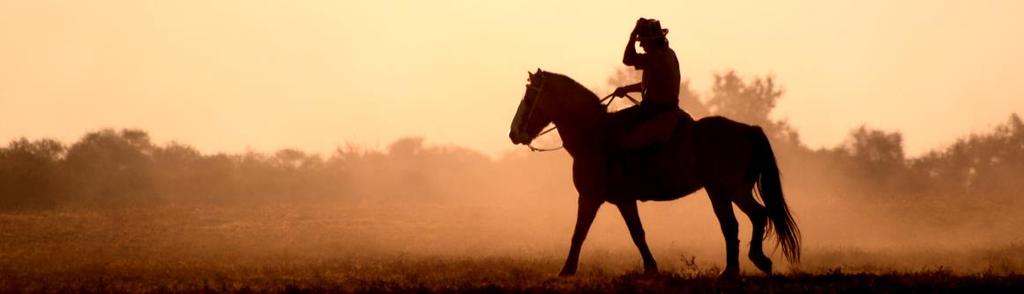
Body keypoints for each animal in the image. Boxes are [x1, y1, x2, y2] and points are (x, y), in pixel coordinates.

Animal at [509, 69, 798, 278]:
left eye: (529, 97)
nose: (513, 133)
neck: (593, 135)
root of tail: (748, 130)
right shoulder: (621, 200)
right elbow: (635, 233)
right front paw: (650, 267)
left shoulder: (593, 198)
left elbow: (583, 233)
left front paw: (566, 270)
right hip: (725, 190)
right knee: (743, 220)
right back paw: (742, 266)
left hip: (728, 189)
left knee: (748, 218)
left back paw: (747, 265)